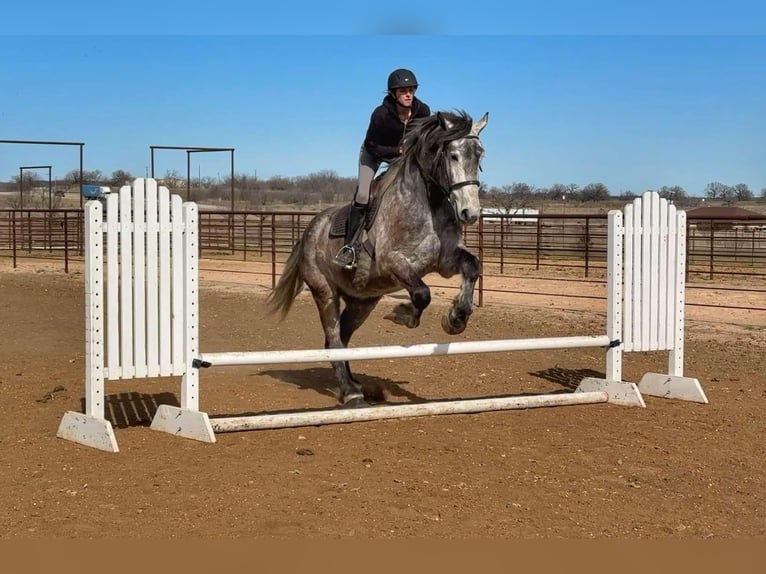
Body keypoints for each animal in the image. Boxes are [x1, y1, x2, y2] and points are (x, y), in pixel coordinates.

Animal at [268, 111, 488, 410]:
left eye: (479, 156)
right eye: (453, 155)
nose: (470, 213)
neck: (427, 205)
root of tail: (310, 230)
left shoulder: (445, 262)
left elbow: (472, 266)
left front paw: (456, 318)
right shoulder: (392, 262)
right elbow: (422, 293)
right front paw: (402, 314)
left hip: (362, 302)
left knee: (340, 339)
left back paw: (355, 385)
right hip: (324, 291)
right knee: (334, 339)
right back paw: (350, 392)